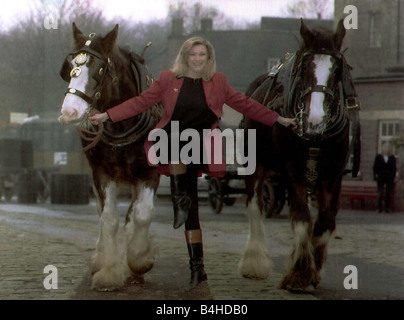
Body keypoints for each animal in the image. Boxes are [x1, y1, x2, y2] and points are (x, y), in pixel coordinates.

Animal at [58, 23, 163, 292]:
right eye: (70, 66)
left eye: (100, 68)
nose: (69, 112)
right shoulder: (102, 174)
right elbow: (108, 218)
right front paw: (107, 272)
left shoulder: (150, 173)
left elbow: (141, 214)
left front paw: (139, 261)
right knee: (103, 211)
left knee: (133, 215)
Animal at [238, 18, 362, 292]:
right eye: (305, 65)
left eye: (338, 69)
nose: (315, 120)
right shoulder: (294, 172)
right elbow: (303, 218)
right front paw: (300, 272)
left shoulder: (332, 175)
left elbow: (324, 222)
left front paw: (312, 266)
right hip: (255, 164)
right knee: (255, 206)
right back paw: (254, 261)